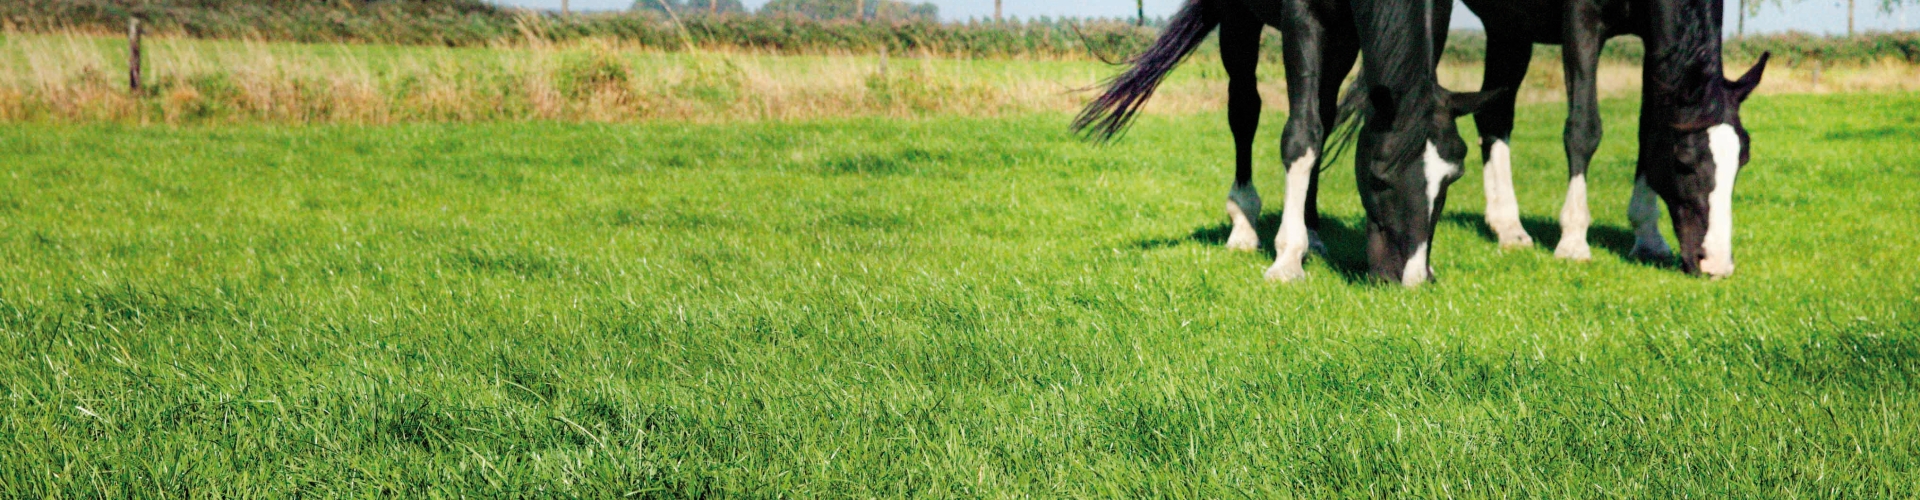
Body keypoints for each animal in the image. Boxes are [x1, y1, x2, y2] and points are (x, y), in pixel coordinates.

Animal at [1075, 0, 1495, 286]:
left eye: (1453, 177)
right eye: (1379, 178)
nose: (1411, 278)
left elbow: (1319, 129)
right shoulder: (1302, 17)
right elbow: (1301, 134)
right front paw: (1287, 259)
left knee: (1324, 112)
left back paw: (1313, 230)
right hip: (1240, 19)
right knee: (1244, 108)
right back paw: (1243, 223)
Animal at [1460, 0, 1767, 277]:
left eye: (1743, 160)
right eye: (1683, 161)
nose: (1716, 264)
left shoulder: (1653, 41)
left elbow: (1648, 129)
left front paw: (1649, 240)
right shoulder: (1581, 21)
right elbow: (1583, 130)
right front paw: (1573, 242)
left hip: (1507, 26)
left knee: (1494, 115)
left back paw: (1508, 227)